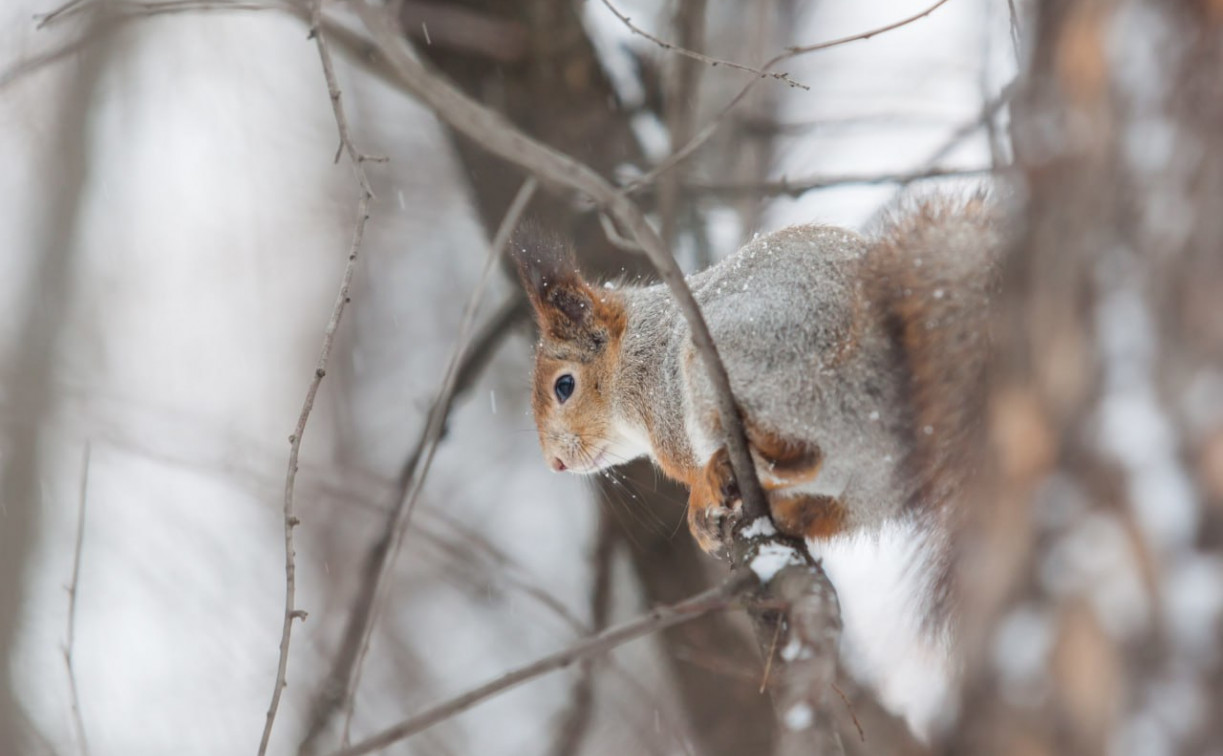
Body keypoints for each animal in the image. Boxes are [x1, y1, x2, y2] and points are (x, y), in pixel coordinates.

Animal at [511, 196, 997, 555]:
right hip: (869, 493)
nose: (555, 463)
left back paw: (739, 462)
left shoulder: (668, 411)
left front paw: (698, 502)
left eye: (564, 385)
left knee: (801, 454)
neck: (637, 351)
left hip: (738, 366)